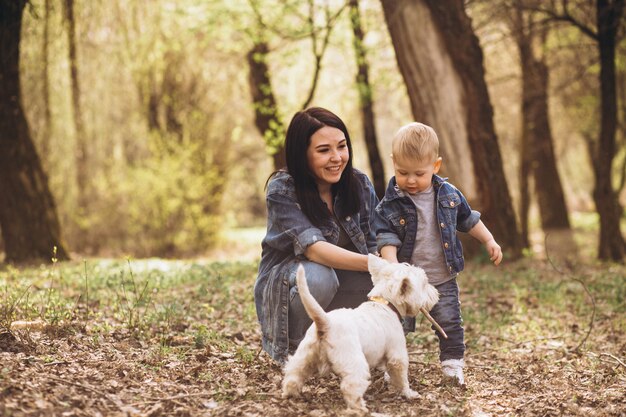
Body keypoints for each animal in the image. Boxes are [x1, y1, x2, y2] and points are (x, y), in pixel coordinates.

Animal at [282, 252, 438, 412]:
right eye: (424, 284)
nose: (436, 293)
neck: (386, 304)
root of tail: (326, 323)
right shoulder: (397, 354)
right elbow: (402, 377)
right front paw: (409, 393)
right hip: (354, 360)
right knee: (351, 385)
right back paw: (360, 407)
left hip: (305, 353)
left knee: (294, 371)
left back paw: (290, 393)